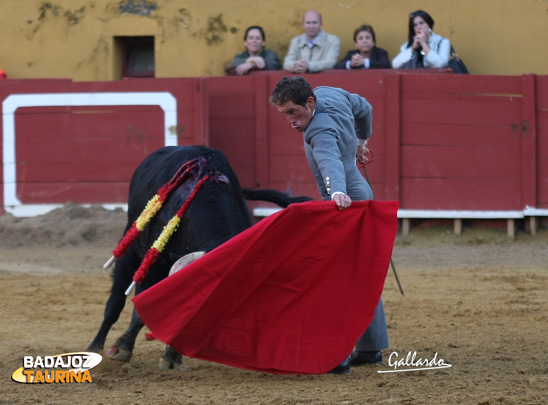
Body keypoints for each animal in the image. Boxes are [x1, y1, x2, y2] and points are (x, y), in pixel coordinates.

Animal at [88, 146, 310, 370]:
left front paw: (172, 358)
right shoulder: (154, 264)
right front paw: (122, 348)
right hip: (131, 245)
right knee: (115, 301)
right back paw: (95, 348)